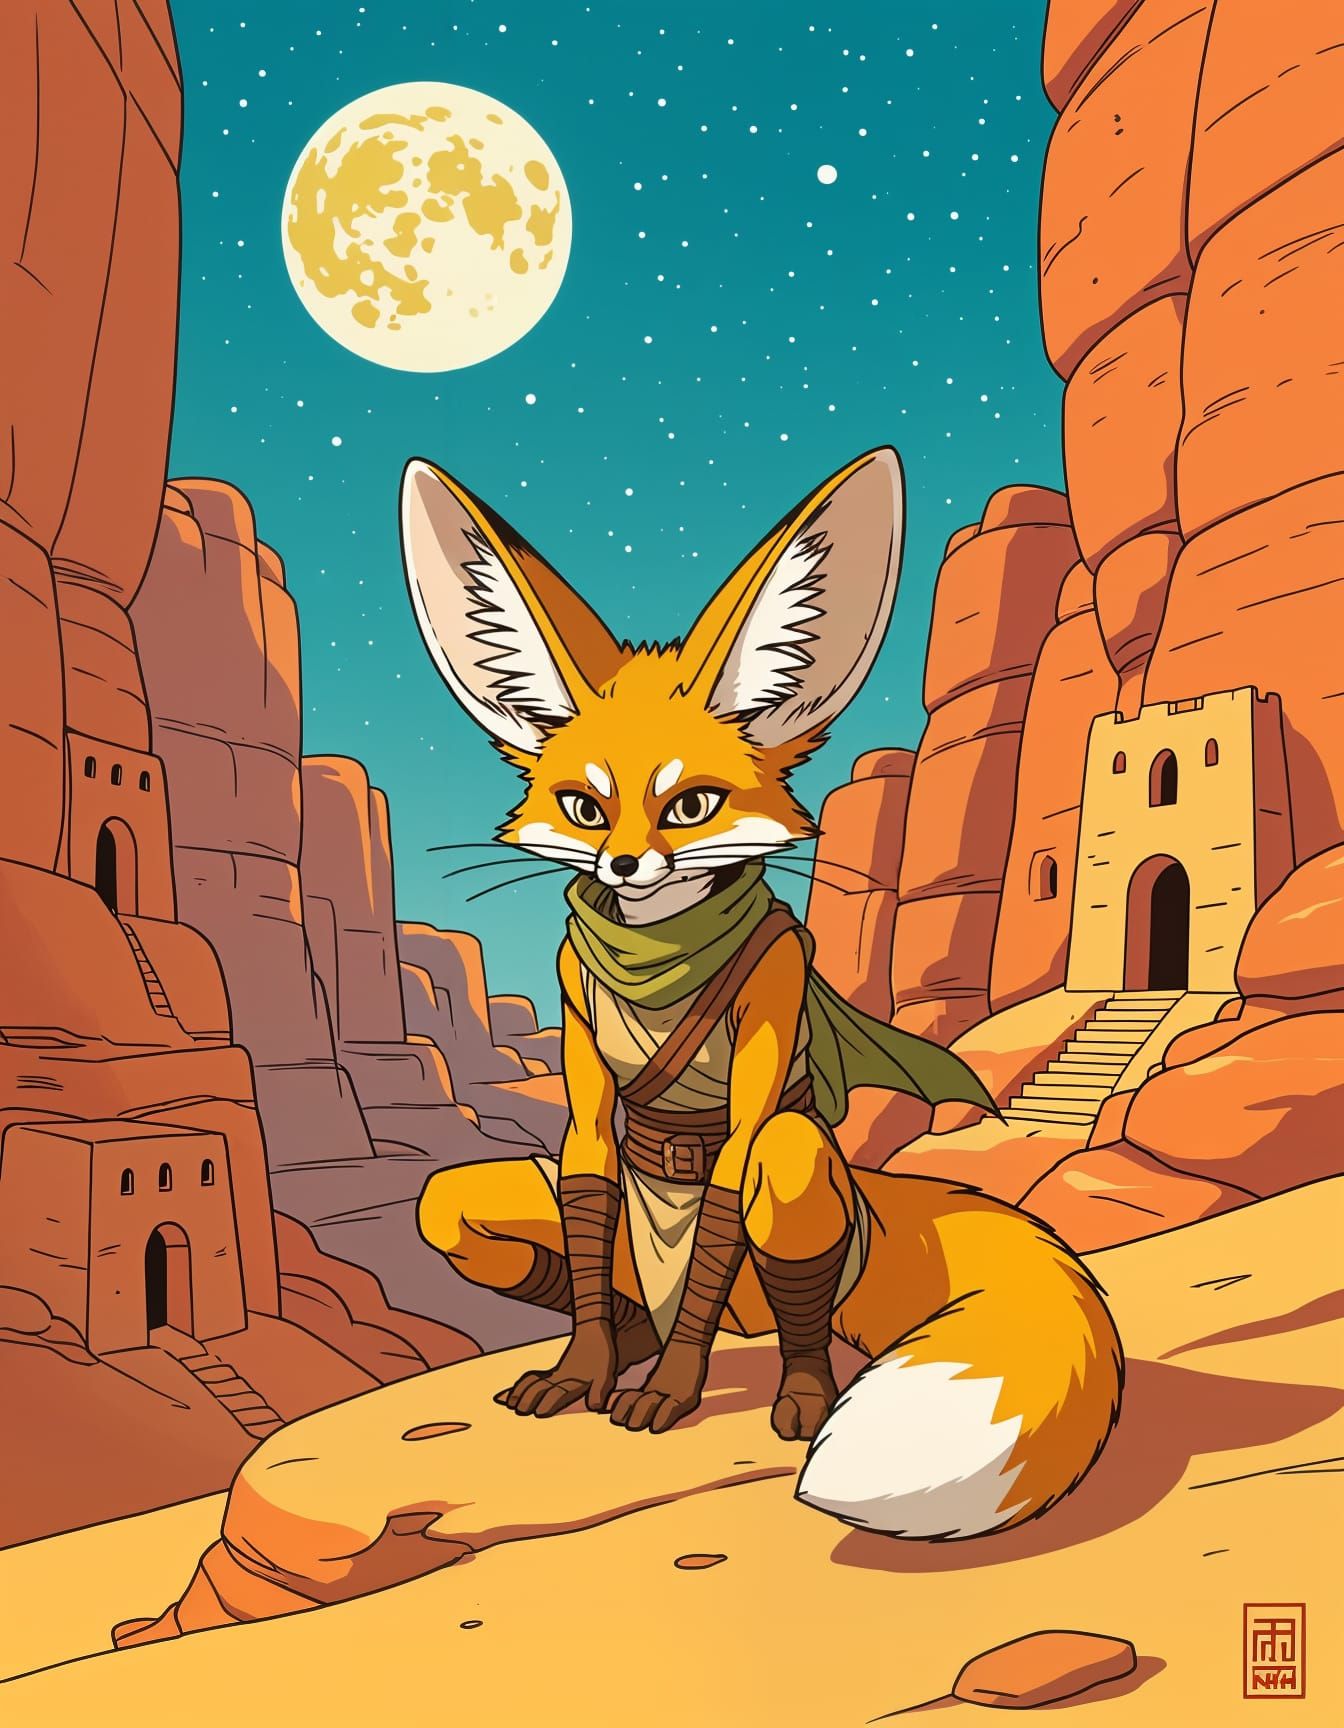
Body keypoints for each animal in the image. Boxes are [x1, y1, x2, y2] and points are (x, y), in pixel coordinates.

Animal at [404, 447, 1122, 1539]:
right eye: (584, 808)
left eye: (692, 805)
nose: (623, 867)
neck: (659, 954)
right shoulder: (577, 1025)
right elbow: (583, 1171)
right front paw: (585, 1369)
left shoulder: (777, 982)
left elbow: (734, 1172)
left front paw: (672, 1388)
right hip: (556, 1238)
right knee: (486, 1217)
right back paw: (629, 1337)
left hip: (797, 1226)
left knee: (786, 1242)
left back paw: (794, 1390)